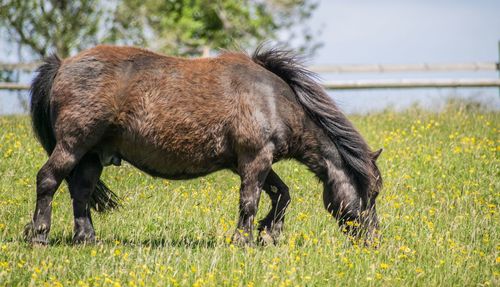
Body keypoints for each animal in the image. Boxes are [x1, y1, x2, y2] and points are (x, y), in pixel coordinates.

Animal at [23, 44, 382, 246]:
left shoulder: (254, 162)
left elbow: (282, 194)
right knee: (48, 180)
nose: (374, 239)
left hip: (92, 156)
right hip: (73, 145)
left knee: (81, 193)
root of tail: (62, 65)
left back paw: (87, 240)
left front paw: (269, 233)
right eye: (372, 194)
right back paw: (38, 235)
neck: (272, 100)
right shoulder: (255, 159)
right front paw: (243, 241)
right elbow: (249, 202)